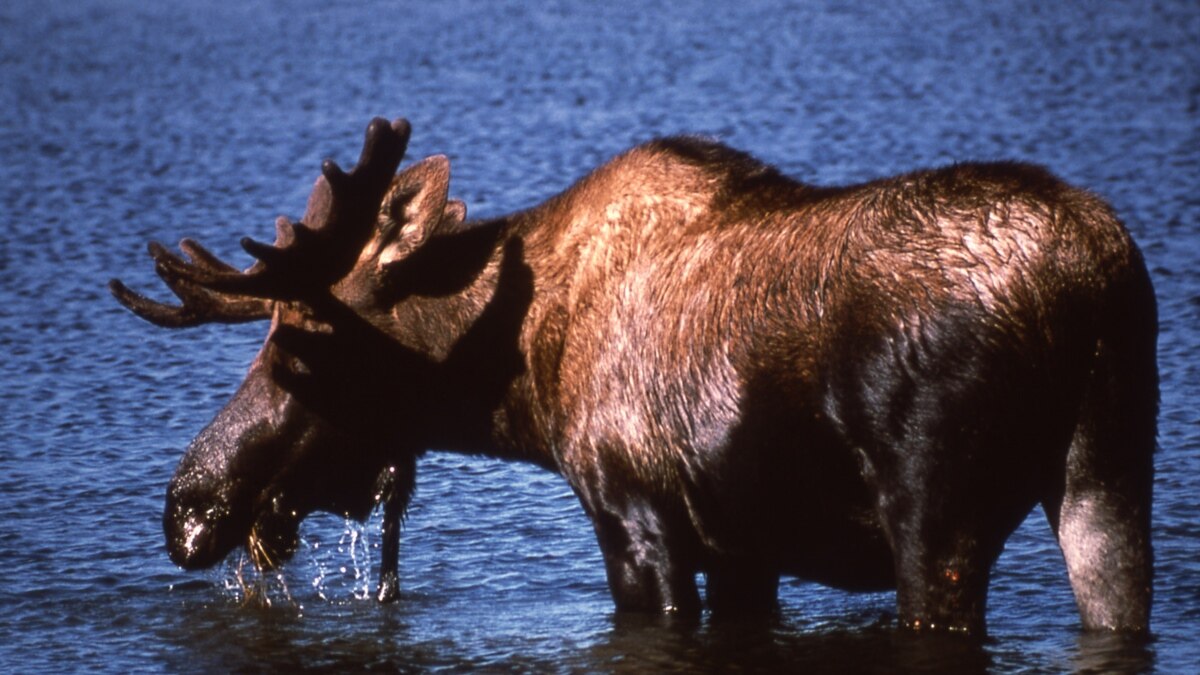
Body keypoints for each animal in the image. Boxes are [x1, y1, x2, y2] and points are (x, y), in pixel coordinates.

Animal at [112, 112, 1152, 634]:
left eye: (294, 340)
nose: (187, 507)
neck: (520, 387)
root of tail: (1097, 277)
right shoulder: (743, 546)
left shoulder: (636, 518)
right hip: (1106, 482)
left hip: (937, 517)